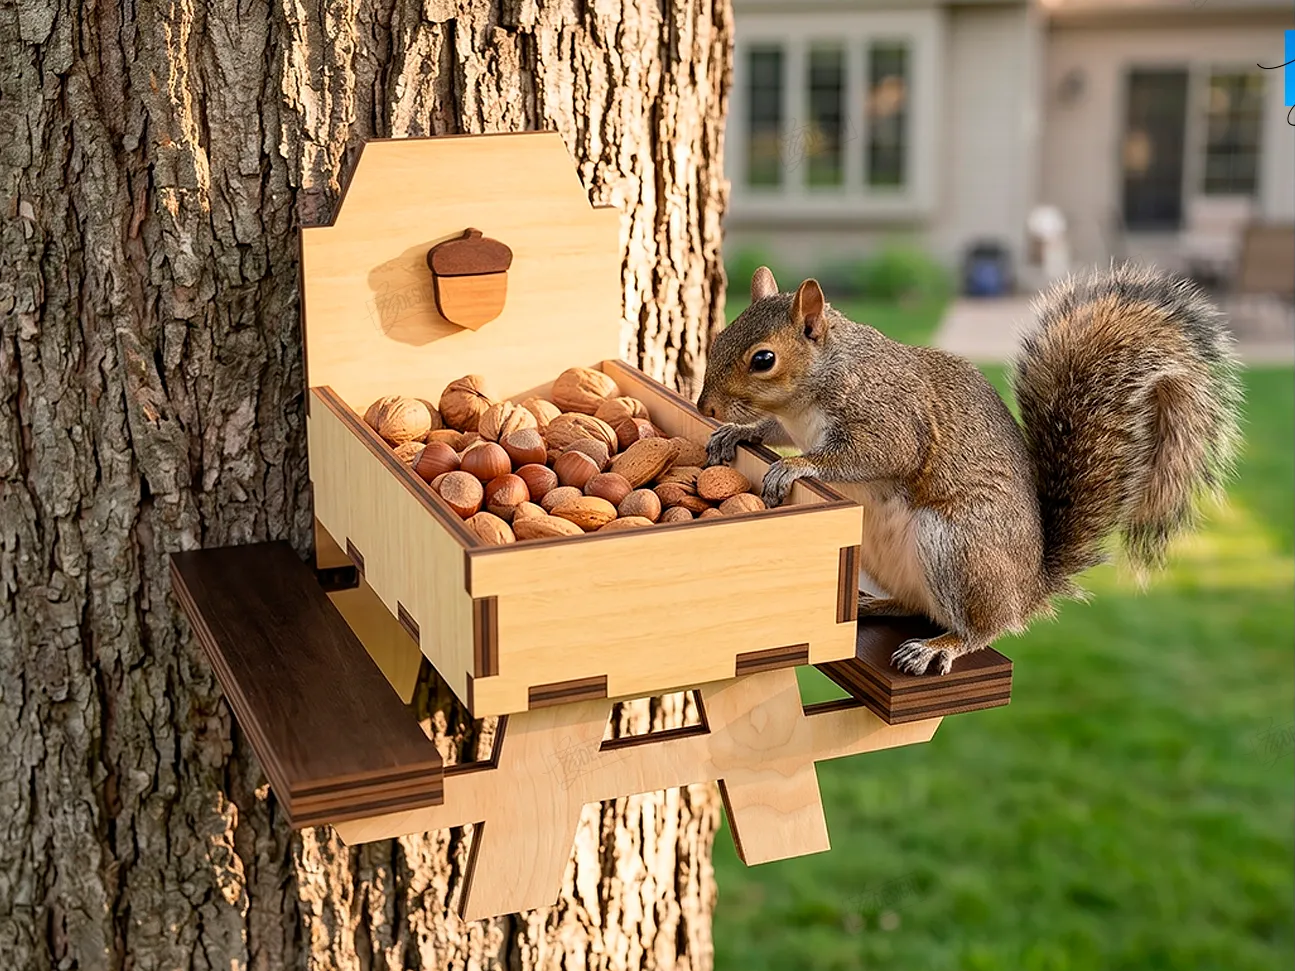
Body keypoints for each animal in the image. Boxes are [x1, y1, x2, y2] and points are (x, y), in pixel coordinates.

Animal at [696, 263, 1243, 676]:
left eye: (763, 359)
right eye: (719, 335)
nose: (706, 407)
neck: (820, 382)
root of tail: (1029, 590)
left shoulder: (890, 420)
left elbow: (869, 455)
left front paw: (795, 468)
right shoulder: (796, 423)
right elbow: (773, 430)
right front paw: (738, 433)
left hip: (958, 548)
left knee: (984, 627)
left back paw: (940, 646)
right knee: (915, 605)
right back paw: (873, 606)